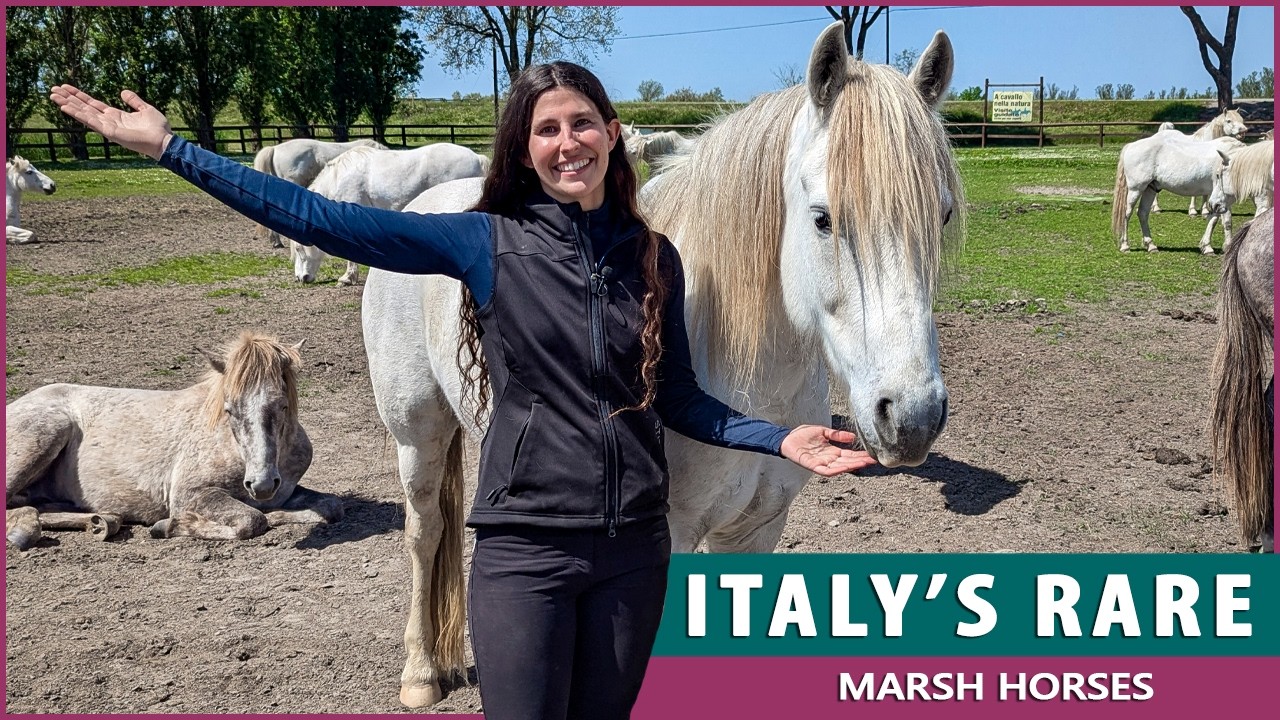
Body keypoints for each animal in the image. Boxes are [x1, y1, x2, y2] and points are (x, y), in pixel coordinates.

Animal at [4, 332, 342, 549]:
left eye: (282, 405)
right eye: (229, 409)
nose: (261, 485)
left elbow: (330, 507)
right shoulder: (189, 494)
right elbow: (252, 520)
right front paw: (169, 526)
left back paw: (103, 522)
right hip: (46, 433)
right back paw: (24, 531)